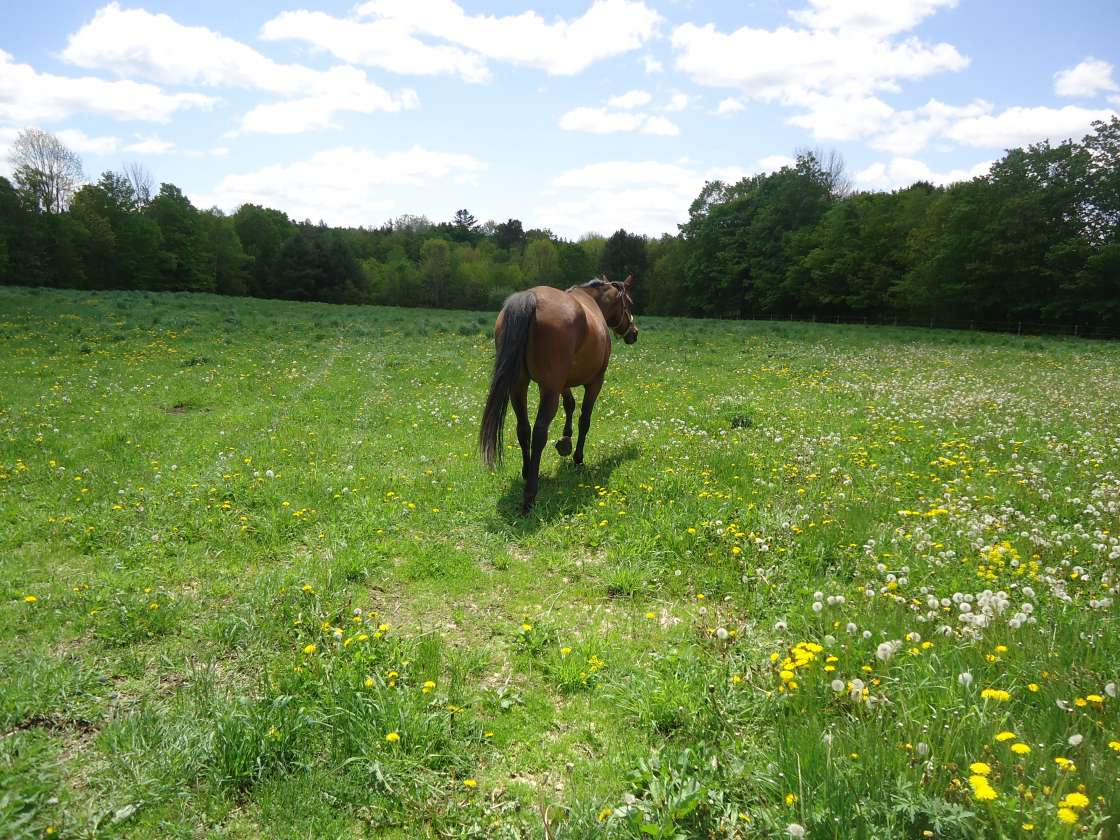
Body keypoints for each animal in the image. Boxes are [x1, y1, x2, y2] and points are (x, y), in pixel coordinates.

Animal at [479, 274, 638, 512]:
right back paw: (530, 494)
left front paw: (565, 441)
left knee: (523, 429)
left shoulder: (563, 383)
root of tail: (531, 299)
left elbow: (570, 405)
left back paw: (527, 472)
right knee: (539, 433)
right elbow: (584, 419)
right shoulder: (595, 382)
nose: (634, 333)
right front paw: (578, 457)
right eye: (628, 302)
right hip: (549, 390)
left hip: (519, 386)